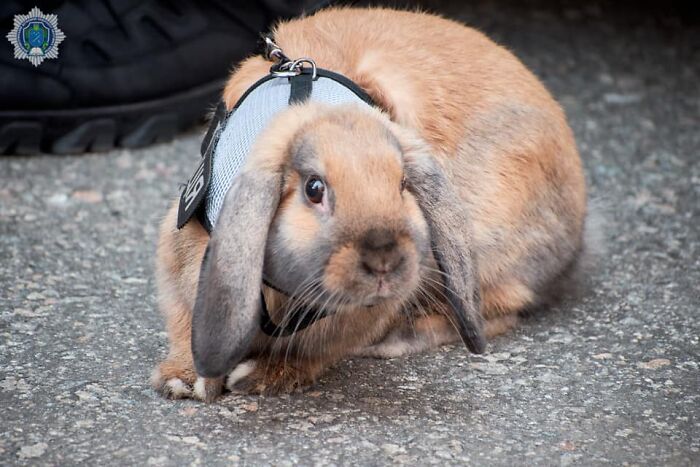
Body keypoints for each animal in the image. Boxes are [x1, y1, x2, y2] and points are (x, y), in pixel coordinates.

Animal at [150, 7, 587, 401]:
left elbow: (314, 353)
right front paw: (182, 381)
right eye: (314, 189)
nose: (383, 260)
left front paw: (260, 376)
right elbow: (184, 323)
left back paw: (399, 337)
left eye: (403, 184)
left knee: (504, 307)